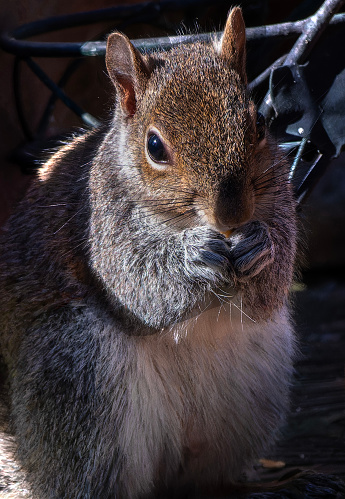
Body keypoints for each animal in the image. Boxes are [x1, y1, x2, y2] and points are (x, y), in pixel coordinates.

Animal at [0, 7, 296, 499]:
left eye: (259, 126)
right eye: (155, 147)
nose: (233, 214)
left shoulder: (281, 203)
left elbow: (272, 287)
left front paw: (262, 246)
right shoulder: (101, 225)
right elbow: (140, 288)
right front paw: (192, 260)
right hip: (77, 372)